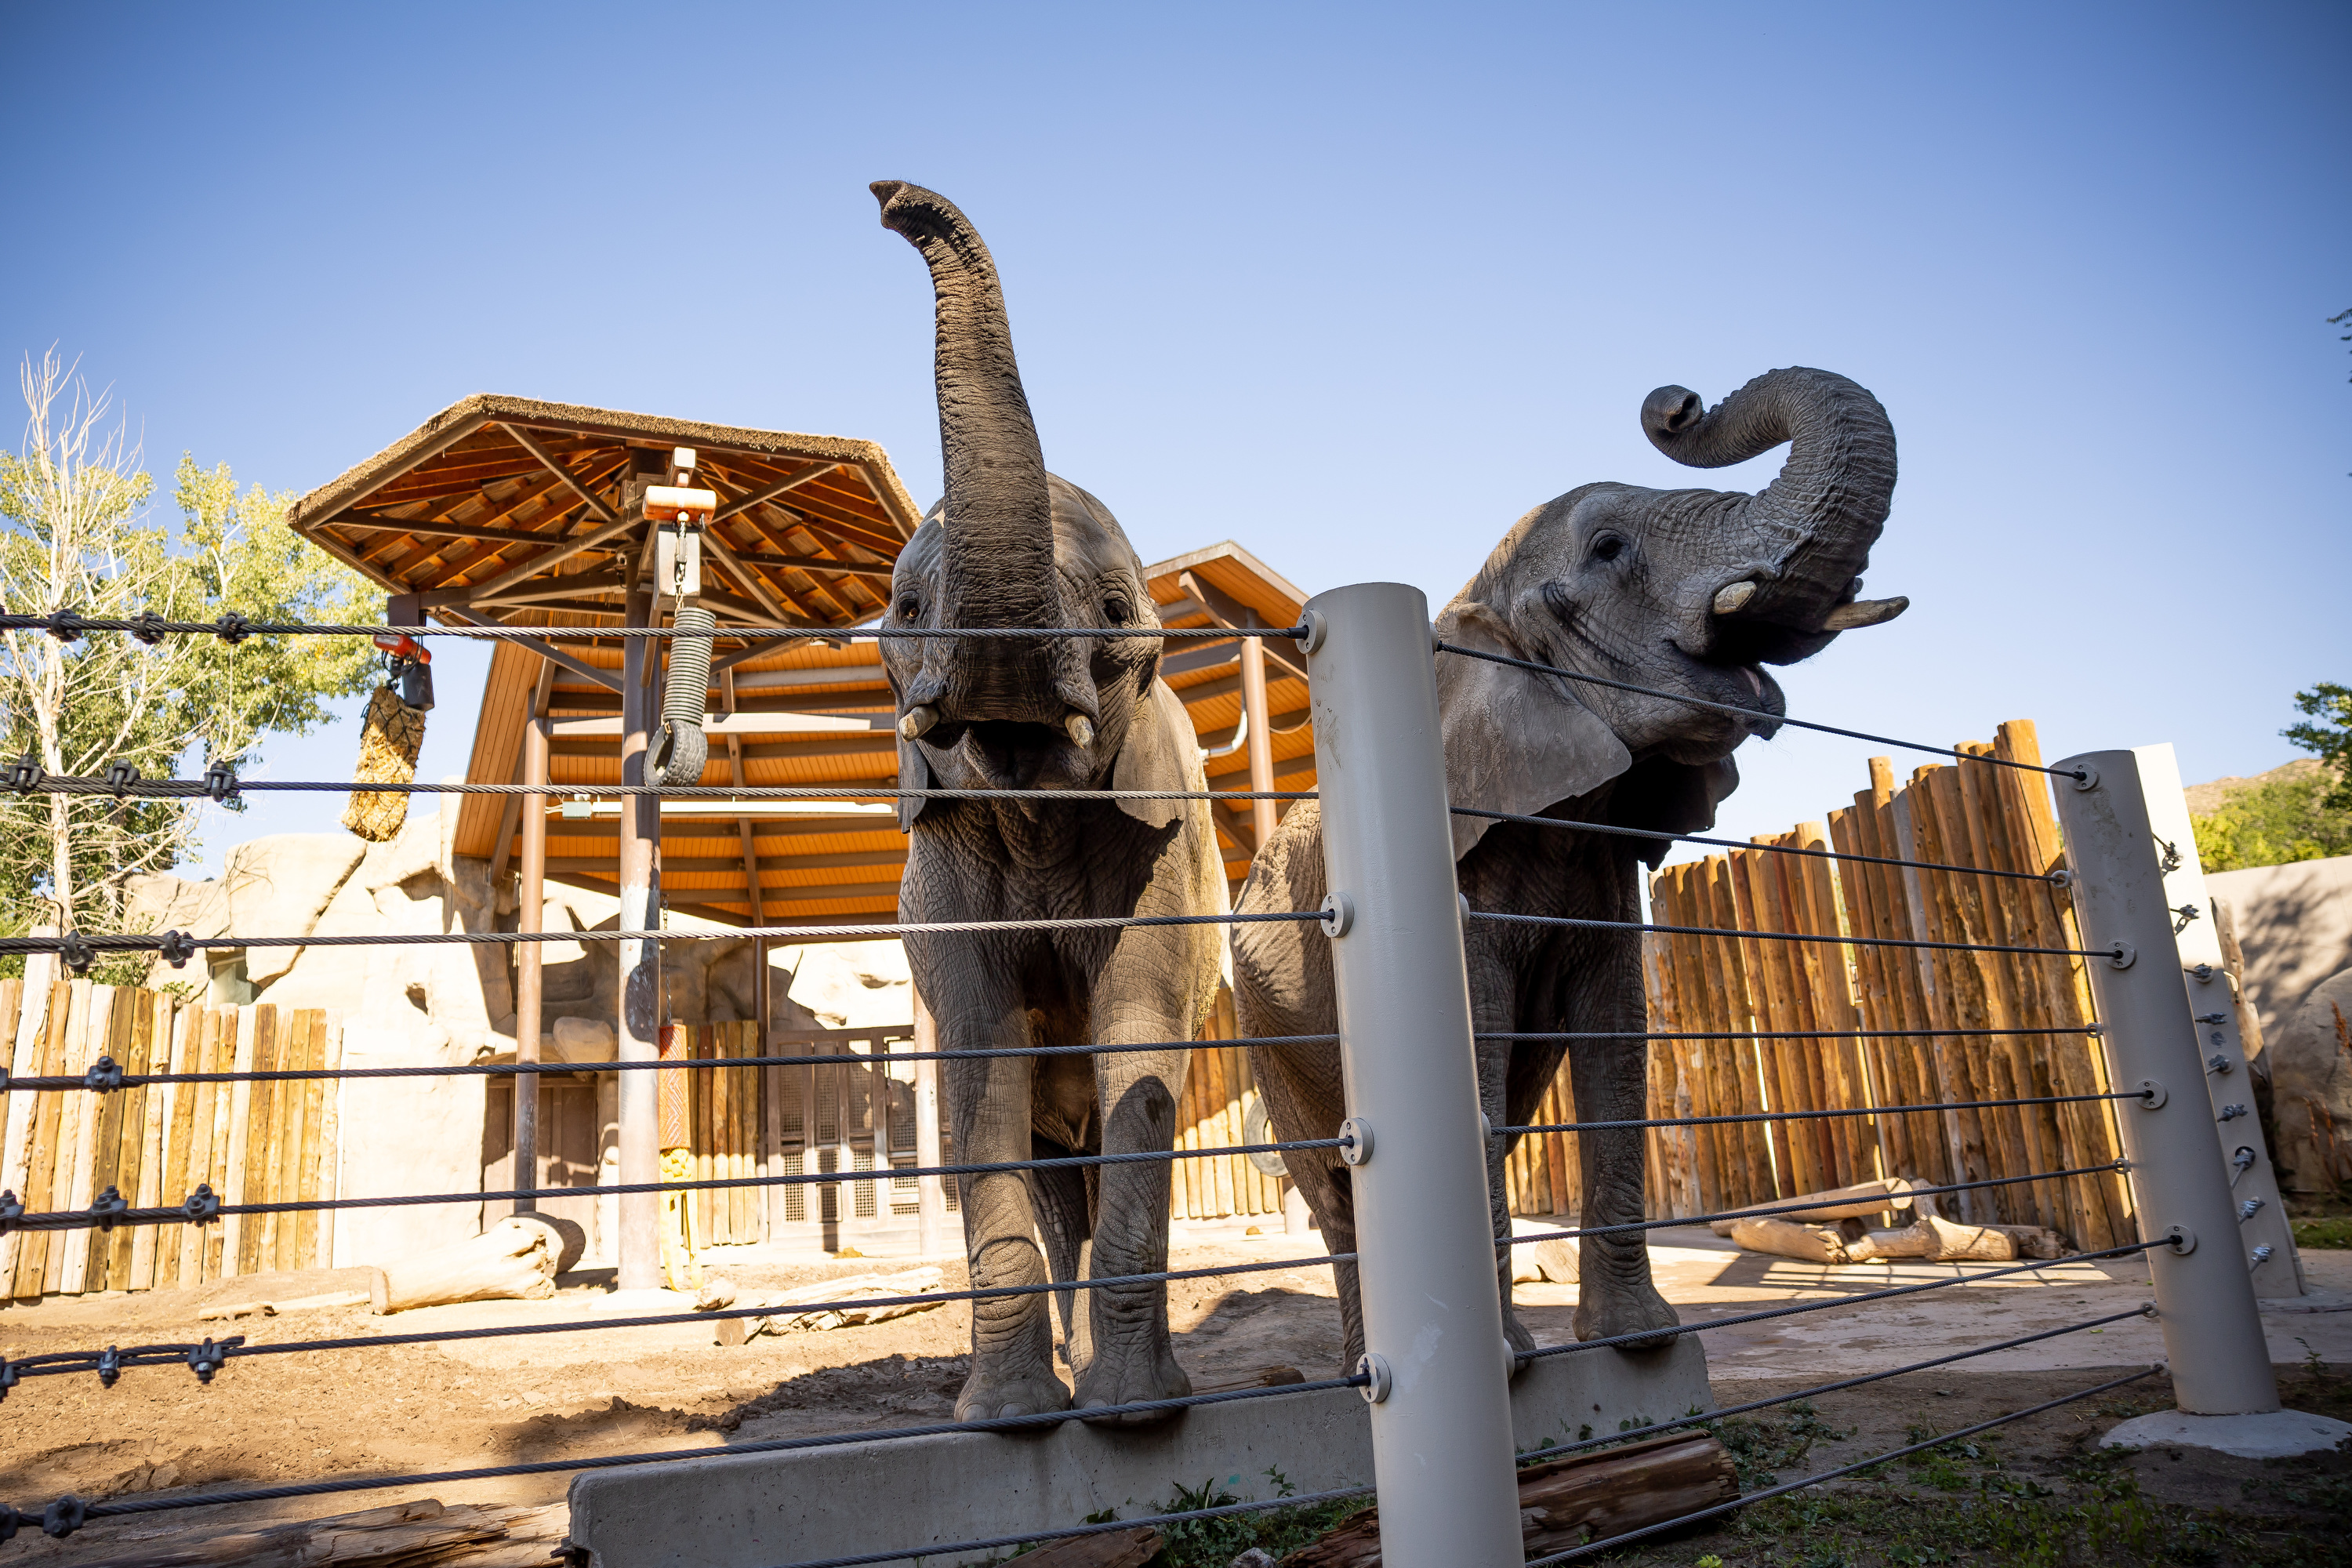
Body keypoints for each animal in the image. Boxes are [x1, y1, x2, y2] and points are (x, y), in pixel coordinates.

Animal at [871, 180, 1227, 1423]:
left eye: (1119, 613)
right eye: (907, 608)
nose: (891, 198)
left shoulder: (1160, 858)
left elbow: (1138, 1049)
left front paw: (1136, 1417)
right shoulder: (940, 878)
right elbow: (977, 1064)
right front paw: (1010, 1421)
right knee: (1043, 1161)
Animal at [1232, 366, 1903, 1370]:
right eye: (1609, 548)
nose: (1678, 403)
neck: (1469, 600)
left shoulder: (1606, 862)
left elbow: (1617, 1033)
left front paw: (1643, 1345)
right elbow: (1475, 1046)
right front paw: (1513, 1366)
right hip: (1261, 1024)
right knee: (1331, 1177)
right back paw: (1365, 1373)